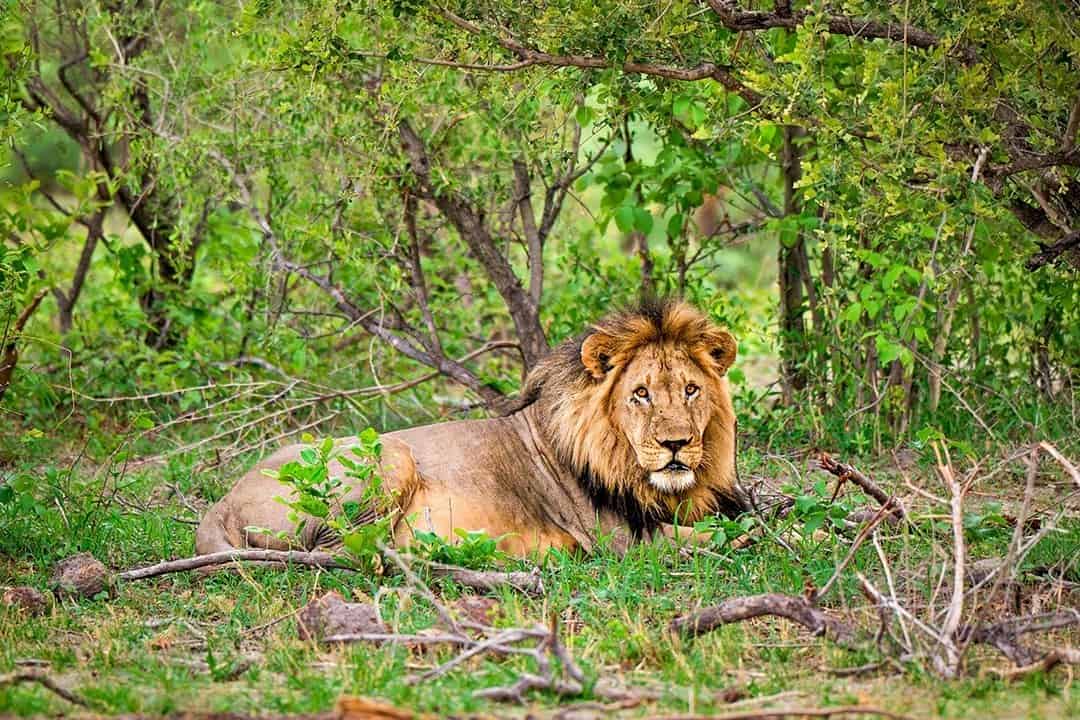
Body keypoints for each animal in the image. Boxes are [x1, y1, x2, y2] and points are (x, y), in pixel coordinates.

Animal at [195, 298, 748, 559]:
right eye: (641, 394)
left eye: (690, 390)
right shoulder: (617, 538)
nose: (676, 444)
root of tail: (219, 504)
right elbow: (718, 535)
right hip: (390, 457)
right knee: (344, 551)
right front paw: (742, 538)